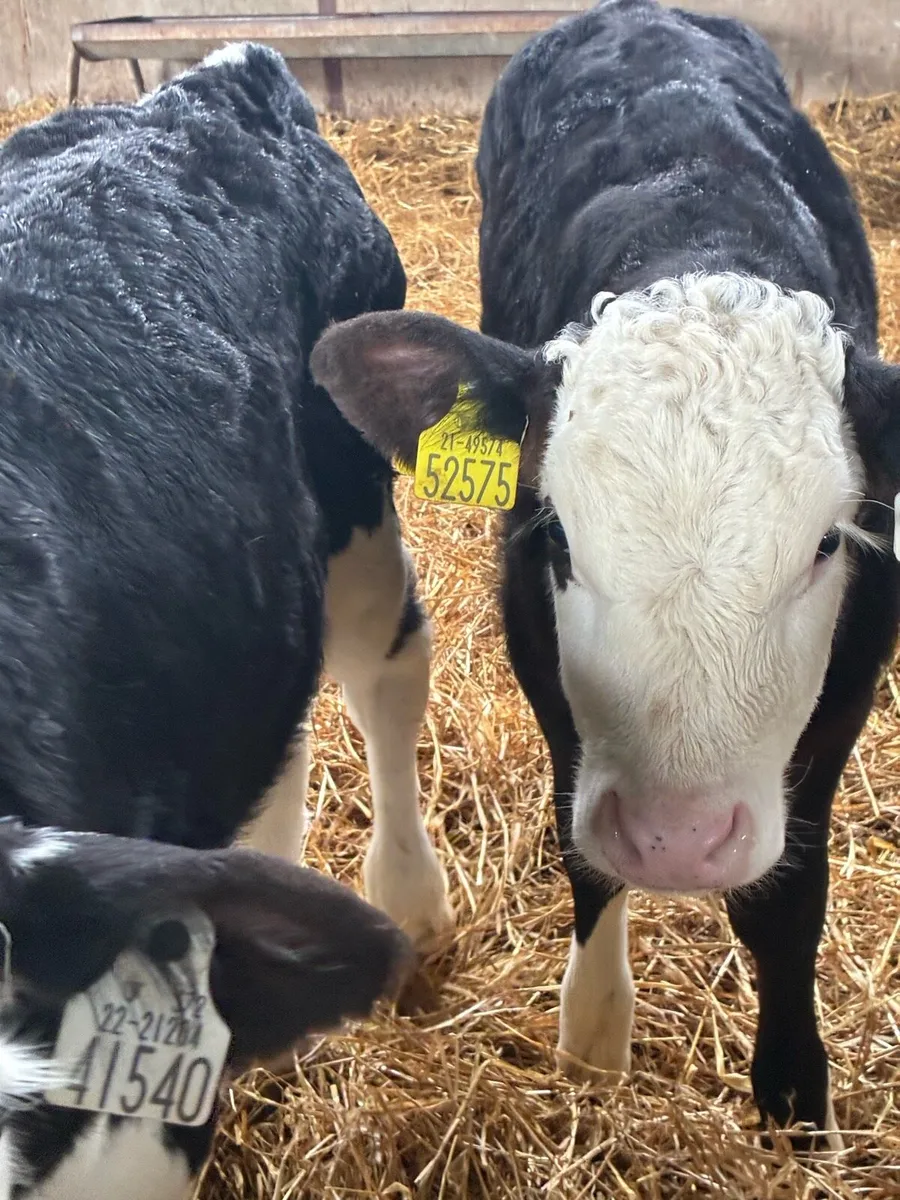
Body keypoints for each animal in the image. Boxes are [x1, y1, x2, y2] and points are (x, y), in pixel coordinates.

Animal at [309, 0, 900, 1148]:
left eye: (826, 544)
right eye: (561, 540)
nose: (674, 838)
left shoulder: (859, 664)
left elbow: (784, 895)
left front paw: (794, 1097)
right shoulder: (537, 649)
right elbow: (582, 846)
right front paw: (592, 1035)